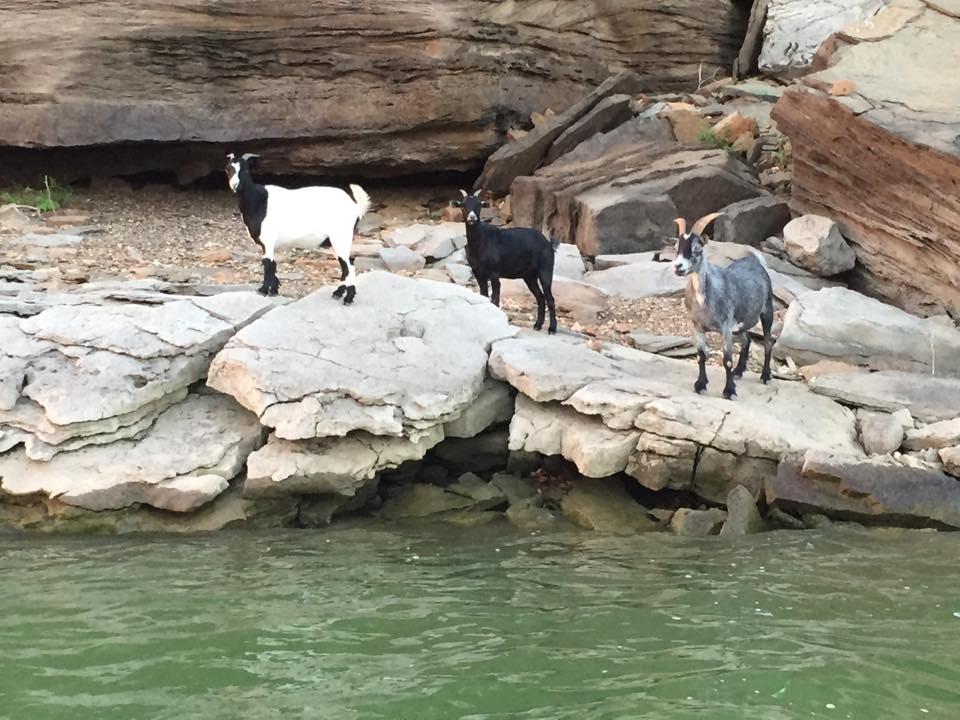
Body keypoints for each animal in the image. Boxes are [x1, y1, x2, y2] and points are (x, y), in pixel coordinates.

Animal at [225, 153, 370, 303]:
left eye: (246, 170)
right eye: (227, 169)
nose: (235, 186)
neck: (259, 201)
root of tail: (356, 207)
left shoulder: (268, 239)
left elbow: (268, 264)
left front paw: (263, 290)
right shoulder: (269, 243)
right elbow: (273, 264)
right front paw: (274, 290)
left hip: (341, 236)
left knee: (349, 266)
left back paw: (348, 298)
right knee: (345, 265)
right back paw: (338, 293)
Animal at [451, 190, 559, 333]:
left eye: (479, 205)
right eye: (463, 205)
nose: (472, 218)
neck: (481, 241)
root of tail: (549, 244)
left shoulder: (494, 272)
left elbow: (495, 297)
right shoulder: (478, 272)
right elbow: (484, 295)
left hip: (545, 269)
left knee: (550, 299)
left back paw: (552, 329)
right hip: (529, 276)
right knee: (540, 297)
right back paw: (537, 325)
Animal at [672, 212, 775, 399]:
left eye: (697, 248)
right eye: (677, 247)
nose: (678, 266)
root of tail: (756, 262)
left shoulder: (725, 327)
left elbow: (727, 360)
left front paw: (729, 391)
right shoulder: (697, 326)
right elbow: (701, 356)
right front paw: (700, 385)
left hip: (767, 310)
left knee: (768, 342)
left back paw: (765, 375)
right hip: (742, 322)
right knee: (747, 340)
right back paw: (739, 371)